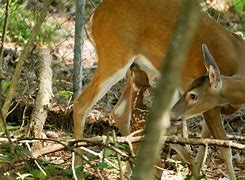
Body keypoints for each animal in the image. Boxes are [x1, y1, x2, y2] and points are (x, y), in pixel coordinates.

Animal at [73, 0, 245, 178]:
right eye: (192, 95)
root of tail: (95, 16)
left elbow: (205, 140)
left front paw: (196, 174)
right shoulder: (210, 105)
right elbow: (224, 147)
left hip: (143, 68)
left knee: (120, 111)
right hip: (114, 55)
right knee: (81, 104)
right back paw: (79, 172)